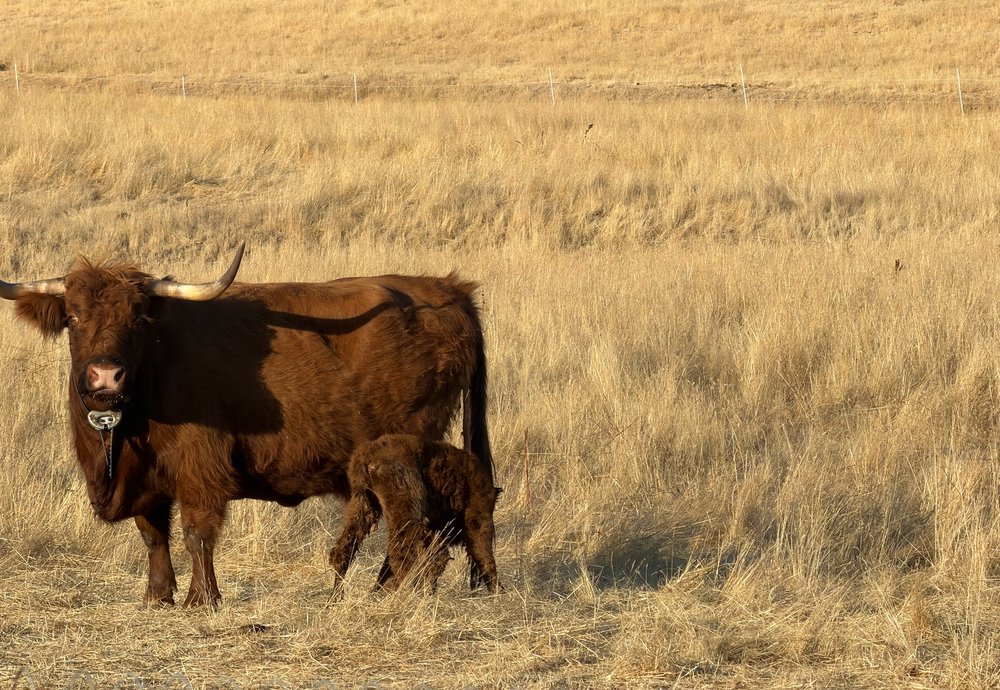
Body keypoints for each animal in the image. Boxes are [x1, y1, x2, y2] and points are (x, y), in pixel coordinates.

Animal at [331, 434, 501, 594]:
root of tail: (367, 457)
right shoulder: (478, 521)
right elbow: (485, 559)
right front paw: (497, 594)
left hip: (363, 504)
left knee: (343, 552)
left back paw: (336, 598)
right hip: (405, 514)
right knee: (407, 558)